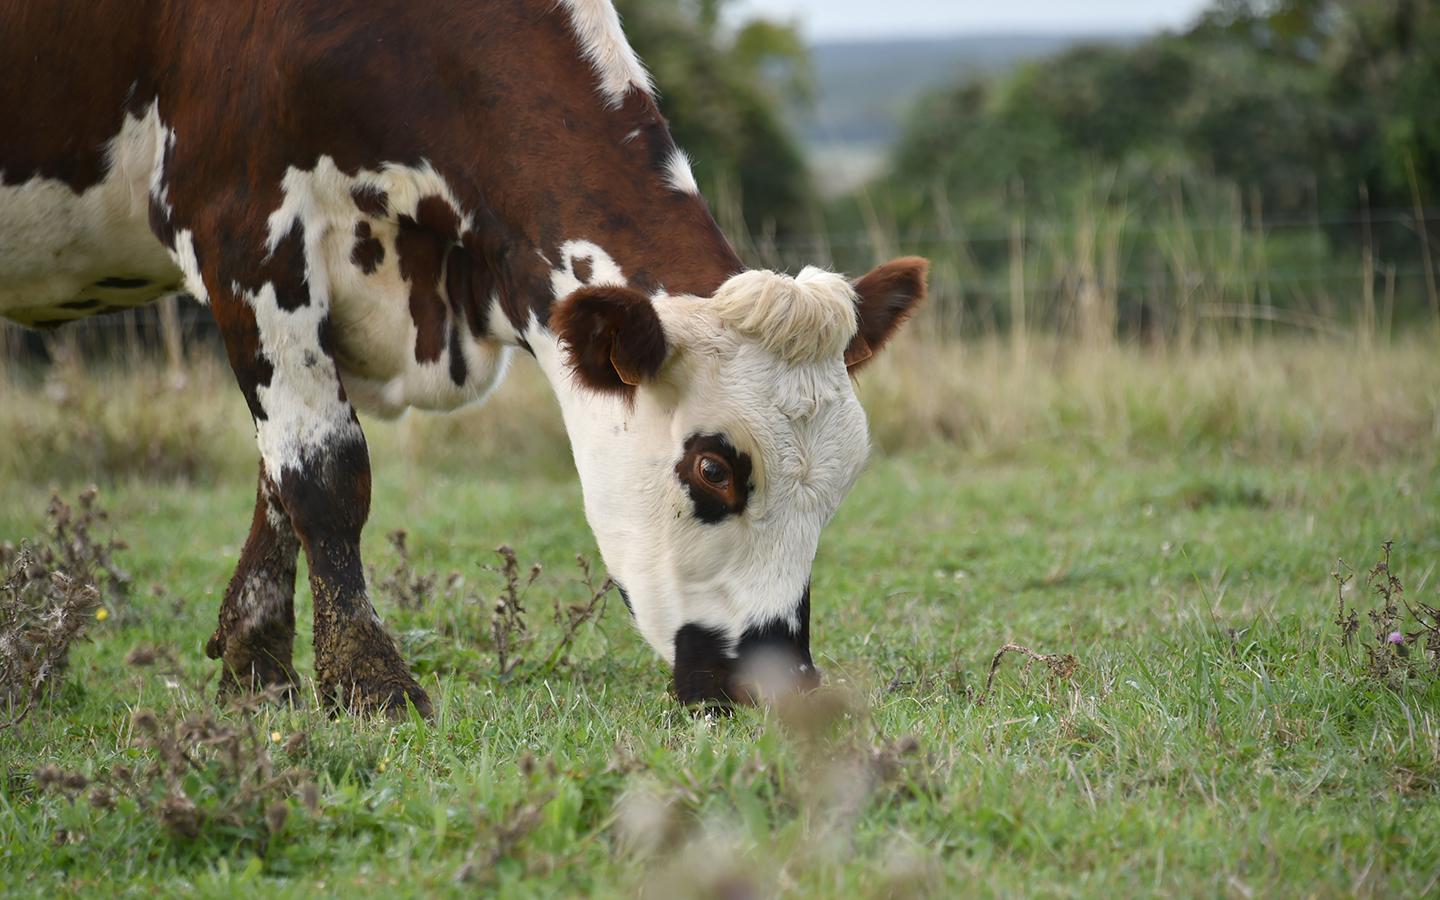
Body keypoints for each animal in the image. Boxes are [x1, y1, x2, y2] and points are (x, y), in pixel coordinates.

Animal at [0, 0, 927, 715]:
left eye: (844, 480)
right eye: (713, 468)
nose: (780, 690)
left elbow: (277, 482)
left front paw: (256, 666)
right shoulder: (240, 230)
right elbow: (323, 473)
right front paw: (368, 684)